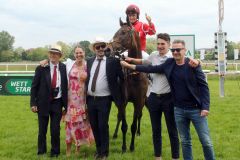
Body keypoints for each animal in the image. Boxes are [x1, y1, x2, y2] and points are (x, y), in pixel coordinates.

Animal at [106, 18, 148, 152]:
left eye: (123, 32)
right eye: (116, 32)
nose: (107, 49)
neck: (134, 75)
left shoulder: (139, 101)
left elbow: (133, 125)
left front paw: (132, 146)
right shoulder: (122, 100)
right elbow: (124, 125)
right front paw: (124, 147)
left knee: (140, 115)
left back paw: (139, 132)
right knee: (119, 116)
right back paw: (114, 134)